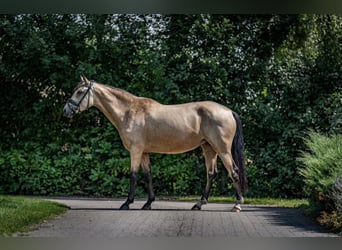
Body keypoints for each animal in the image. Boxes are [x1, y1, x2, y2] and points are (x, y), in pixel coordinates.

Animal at [62, 75, 247, 212]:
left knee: (234, 171)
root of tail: (228, 111)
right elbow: (148, 175)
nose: (66, 111)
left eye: (80, 92)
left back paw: (237, 204)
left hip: (222, 149)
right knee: (211, 174)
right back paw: (199, 204)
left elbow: (133, 175)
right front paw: (148, 203)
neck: (129, 112)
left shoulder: (136, 151)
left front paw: (127, 203)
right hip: (209, 148)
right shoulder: (144, 152)